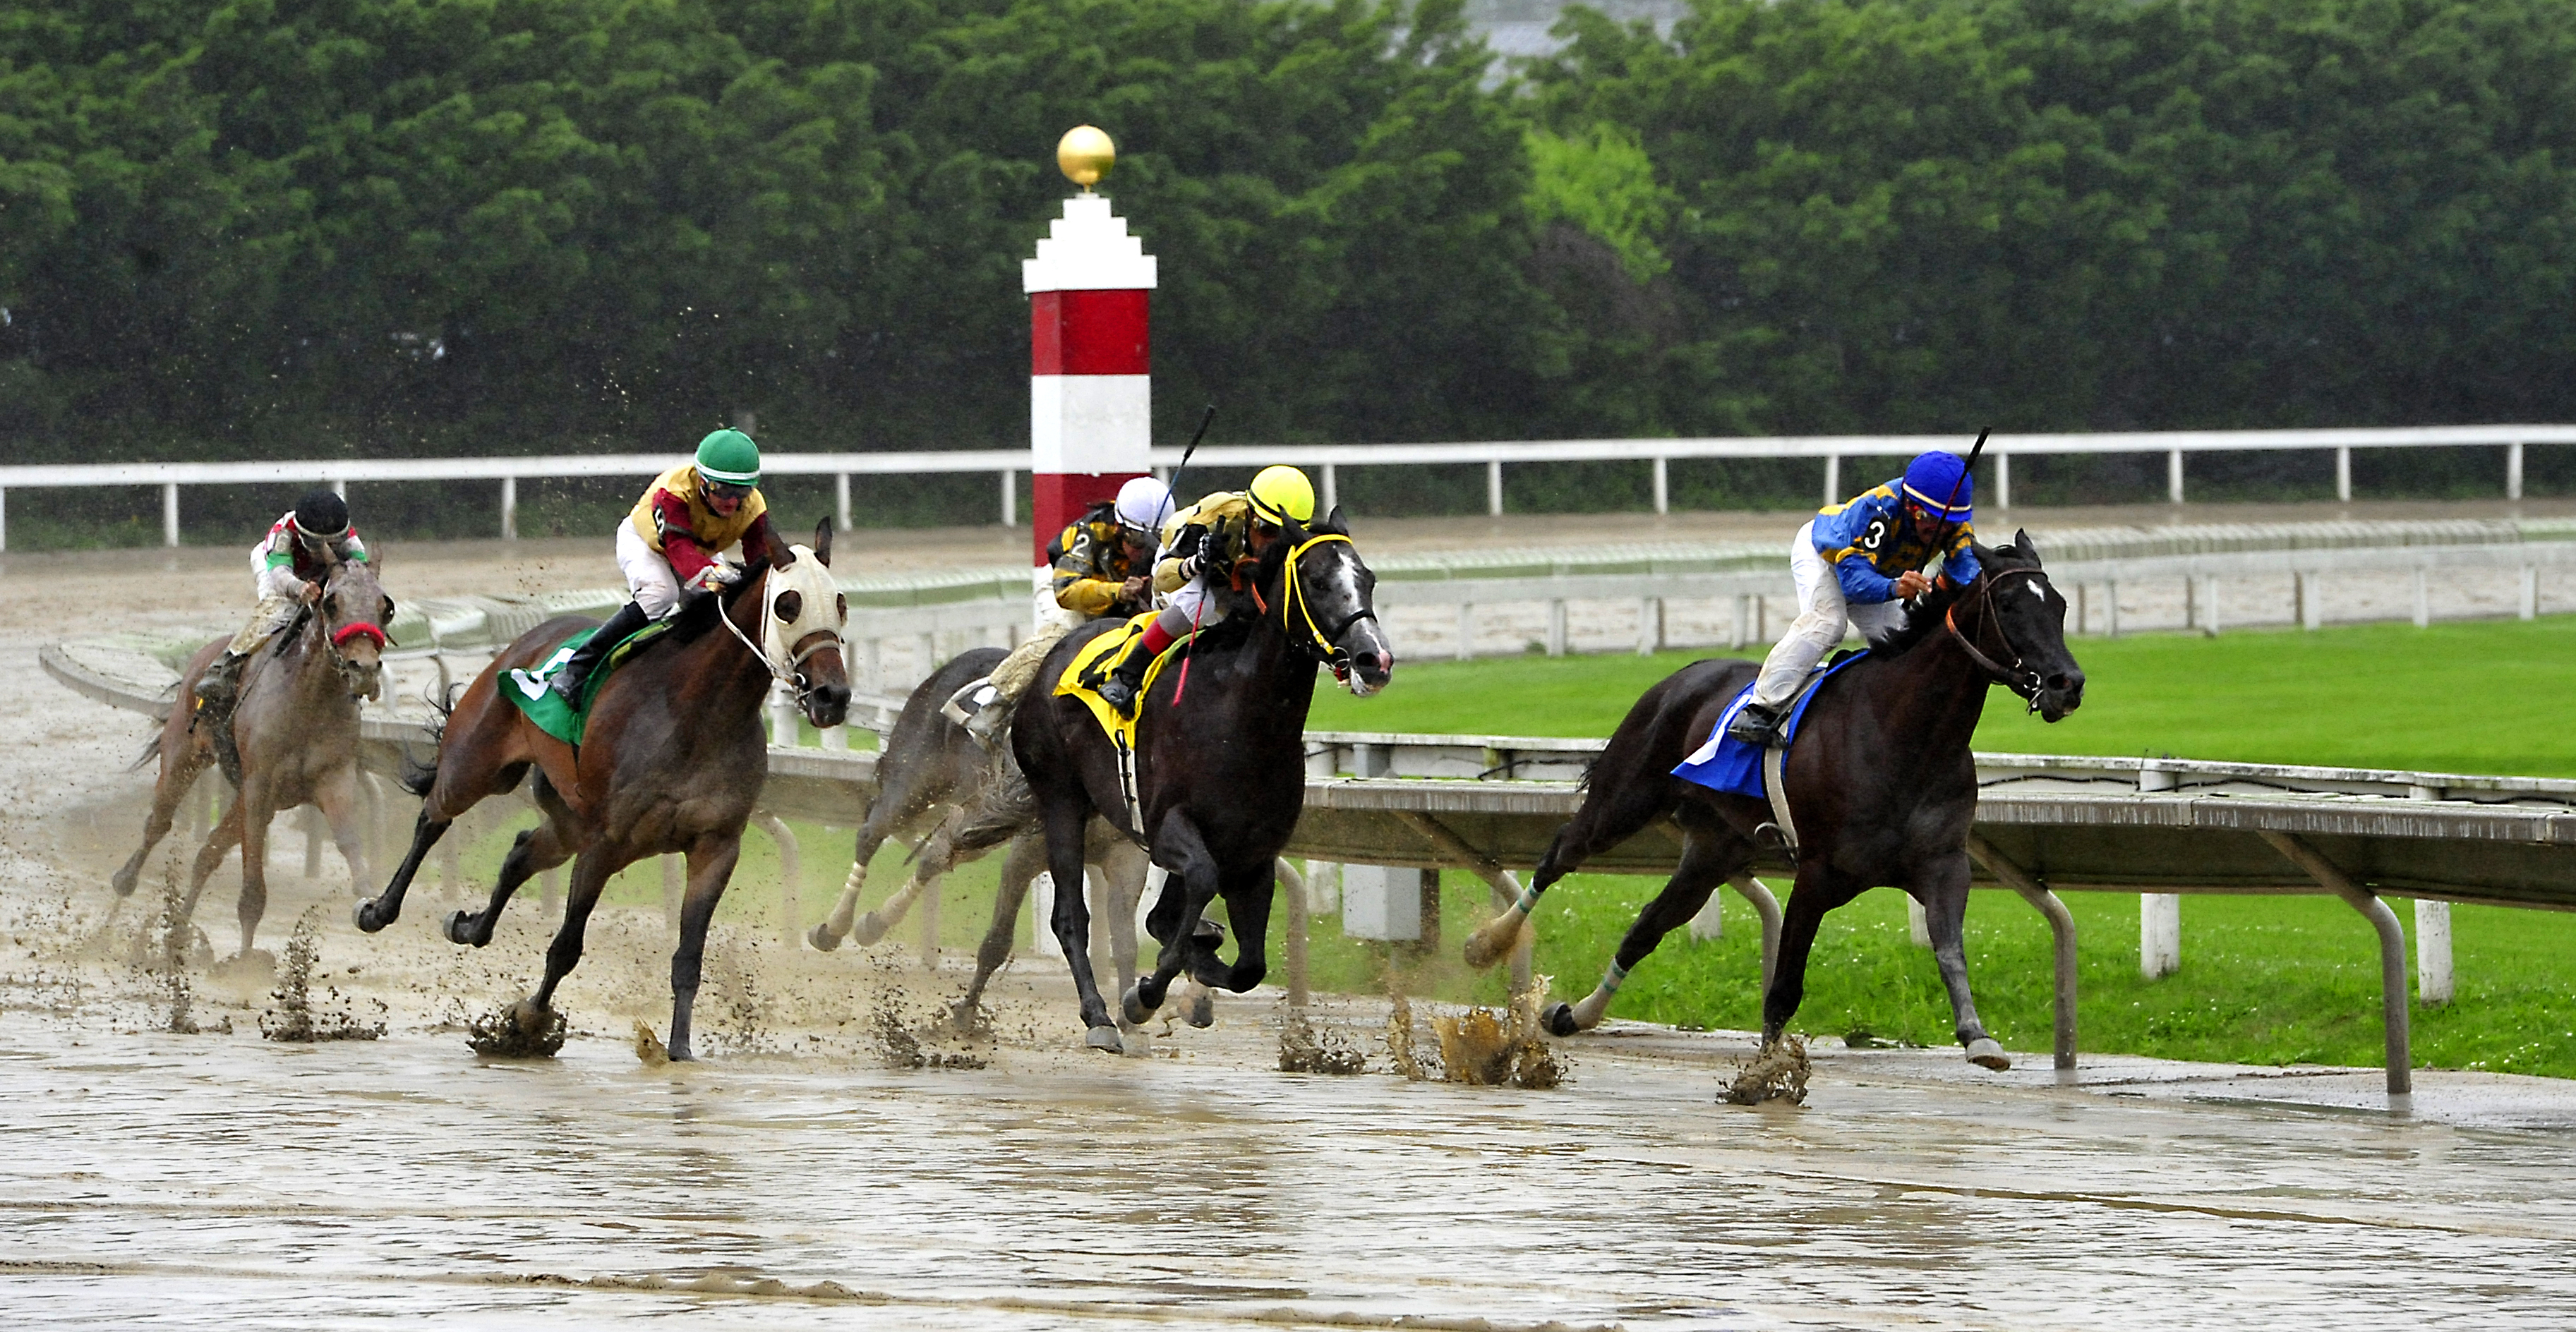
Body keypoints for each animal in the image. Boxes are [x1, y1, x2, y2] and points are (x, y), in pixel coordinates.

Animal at [110, 555, 390, 959]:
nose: (364, 670)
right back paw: (120, 896)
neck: (309, 701)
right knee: (157, 825)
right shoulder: (260, 787)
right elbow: (253, 893)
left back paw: (178, 936)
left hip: (247, 796)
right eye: (332, 603)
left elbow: (352, 849)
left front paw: (371, 906)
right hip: (184, 756)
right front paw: (245, 964)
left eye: (386, 607)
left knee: (208, 851)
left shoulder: (333, 780)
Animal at [353, 519, 851, 1060]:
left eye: (841, 601)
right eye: (788, 604)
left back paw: (468, 925)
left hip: (569, 818)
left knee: (520, 852)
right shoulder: (606, 841)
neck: (697, 712)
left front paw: (680, 1050)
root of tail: (526, 638)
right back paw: (378, 910)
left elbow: (688, 958)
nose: (833, 696)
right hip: (477, 765)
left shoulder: (716, 846)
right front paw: (527, 1024)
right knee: (434, 818)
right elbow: (566, 947)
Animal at [1014, 506, 1394, 1050]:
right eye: (1318, 581)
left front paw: (1201, 966)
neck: (1240, 717)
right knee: (1070, 917)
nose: (1374, 659)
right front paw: (1145, 995)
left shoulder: (1253, 855)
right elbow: (1196, 885)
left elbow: (1248, 966)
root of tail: (1052, 657)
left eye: (1368, 579)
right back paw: (1100, 1016)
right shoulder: (1168, 830)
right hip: (1060, 798)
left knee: (1159, 916)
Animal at [1461, 533, 2084, 1070]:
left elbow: (1950, 949)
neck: (1907, 735)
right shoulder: (1817, 871)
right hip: (1623, 800)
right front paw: (1765, 1075)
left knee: (1647, 926)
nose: (2067, 683)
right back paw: (1487, 945)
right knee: (1560, 855)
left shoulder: (1943, 863)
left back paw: (1575, 1014)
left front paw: (1979, 1038)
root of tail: (1684, 674)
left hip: (1713, 849)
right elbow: (1784, 985)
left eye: (2059, 605)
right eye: (2007, 604)